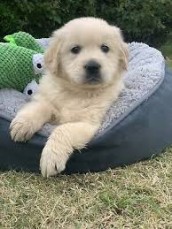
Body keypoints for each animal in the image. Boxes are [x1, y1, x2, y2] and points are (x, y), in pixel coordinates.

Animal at [9, 17, 127, 177]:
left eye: (105, 48)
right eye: (75, 49)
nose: (93, 66)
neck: (77, 92)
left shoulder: (87, 123)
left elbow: (63, 129)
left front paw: (51, 158)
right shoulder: (47, 98)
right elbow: (40, 107)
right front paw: (22, 125)